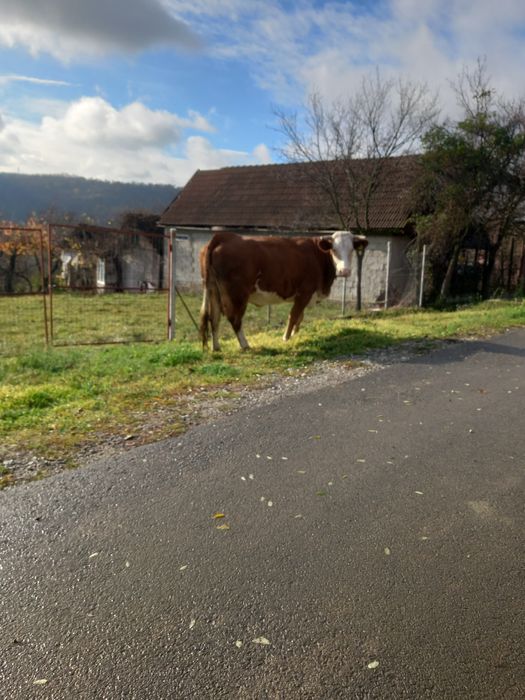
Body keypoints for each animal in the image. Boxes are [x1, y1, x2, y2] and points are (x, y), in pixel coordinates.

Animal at [199, 230, 361, 351]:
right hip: (237, 295)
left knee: (214, 318)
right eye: (334, 250)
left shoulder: (304, 295)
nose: (345, 271)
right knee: (234, 319)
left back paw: (216, 347)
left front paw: (295, 334)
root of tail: (223, 237)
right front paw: (286, 338)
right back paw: (245, 345)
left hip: (213, 290)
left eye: (352, 250)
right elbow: (294, 316)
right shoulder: (305, 292)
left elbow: (300, 316)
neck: (317, 255)